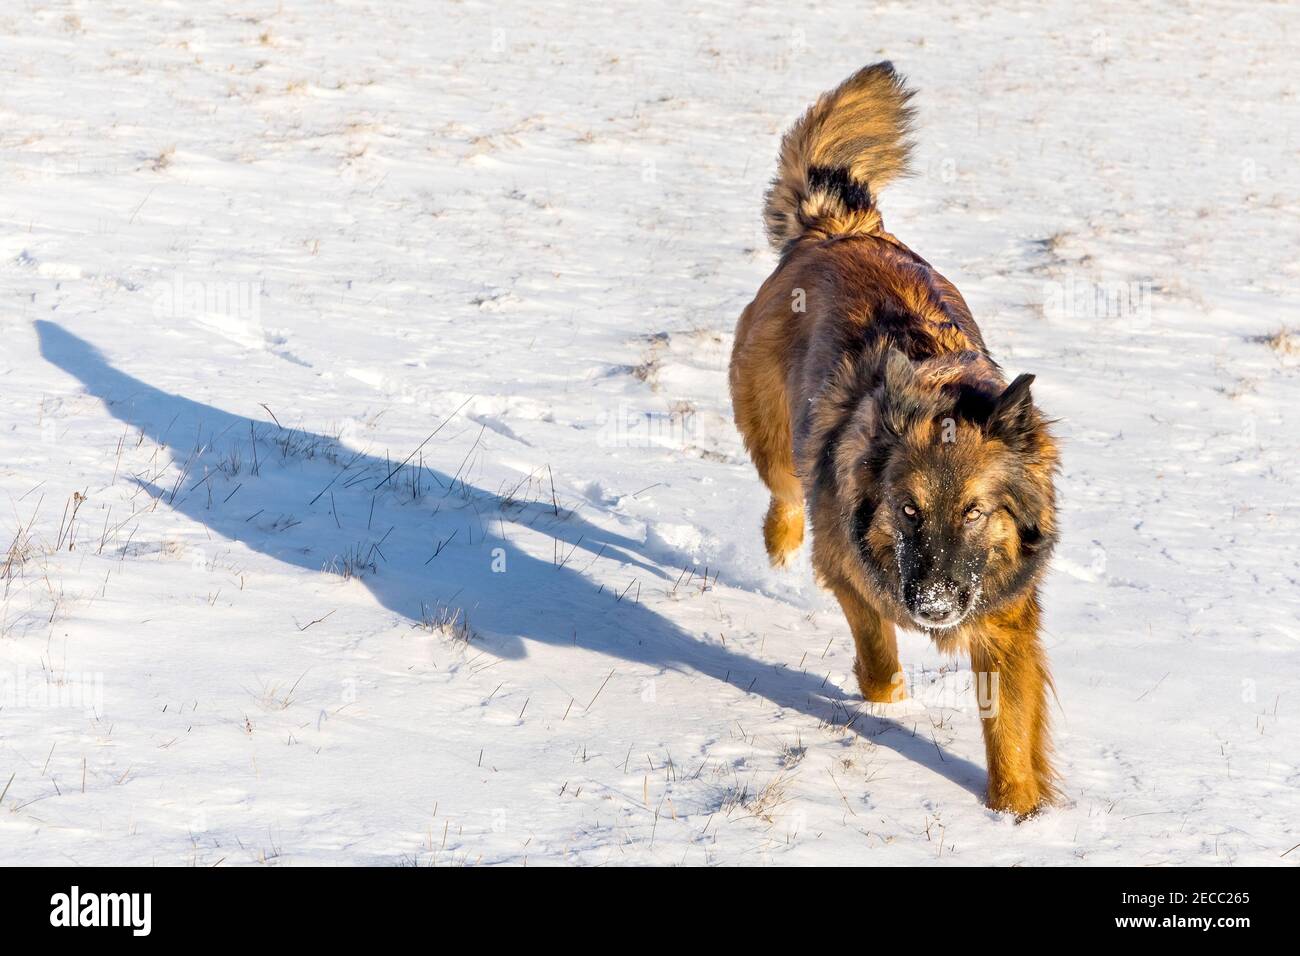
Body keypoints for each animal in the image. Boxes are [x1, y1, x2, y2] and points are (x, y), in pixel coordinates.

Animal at [728, 61, 1060, 816]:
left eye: (975, 512)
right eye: (907, 510)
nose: (933, 607)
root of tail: (837, 228)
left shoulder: (1005, 618)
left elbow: (1009, 727)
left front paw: (1018, 813)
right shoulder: (847, 568)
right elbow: (878, 656)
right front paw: (888, 700)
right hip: (774, 436)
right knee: (784, 489)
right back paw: (779, 544)